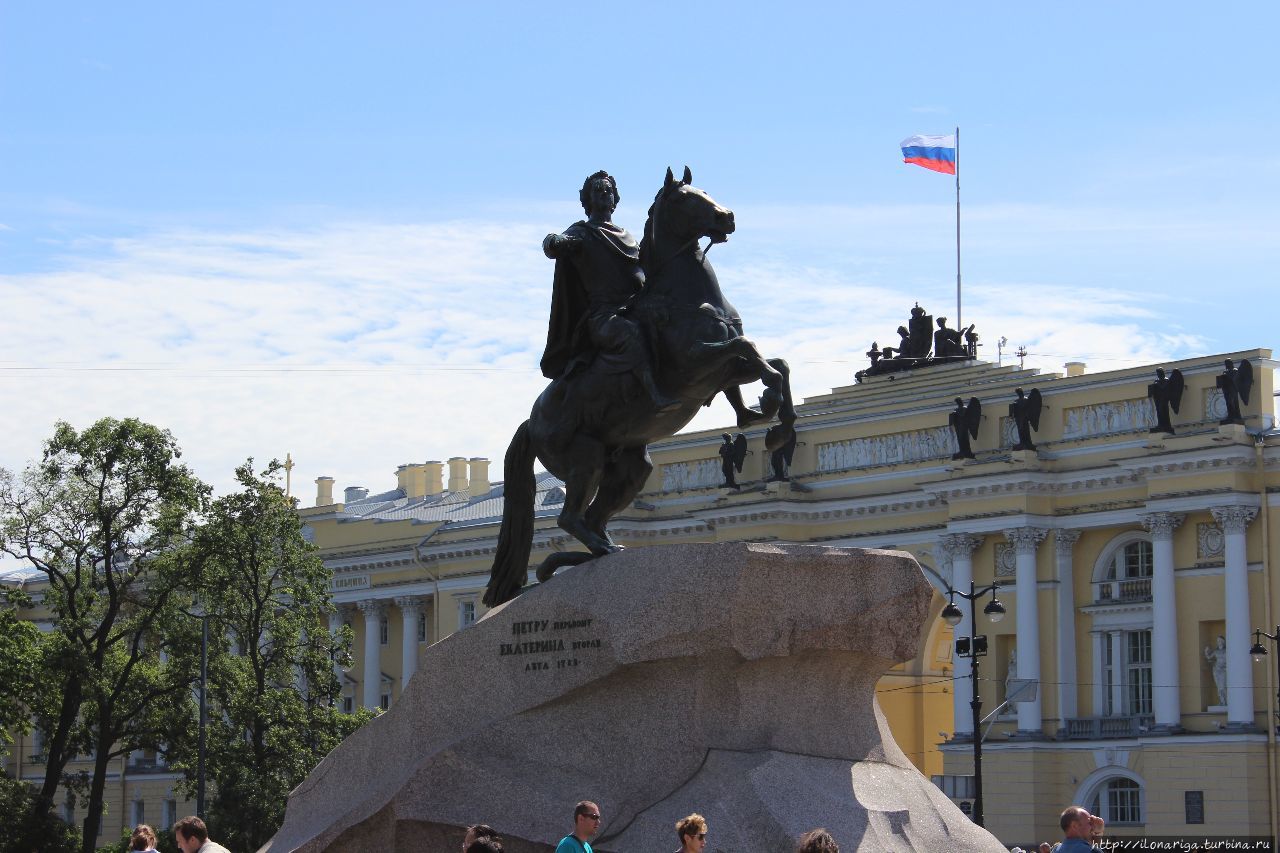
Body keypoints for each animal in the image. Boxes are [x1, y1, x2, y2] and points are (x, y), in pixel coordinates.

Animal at [483, 167, 793, 604]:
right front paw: (768, 407)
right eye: (685, 199)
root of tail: (531, 422)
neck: (685, 295)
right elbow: (748, 348)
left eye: (706, 190)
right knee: (570, 518)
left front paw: (769, 416)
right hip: (586, 459)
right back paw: (593, 552)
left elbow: (776, 364)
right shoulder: (695, 366)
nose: (728, 217)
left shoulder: (723, 372)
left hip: (630, 468)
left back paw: (601, 551)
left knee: (594, 517)